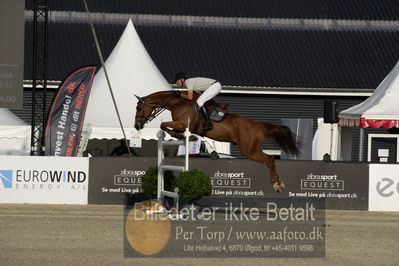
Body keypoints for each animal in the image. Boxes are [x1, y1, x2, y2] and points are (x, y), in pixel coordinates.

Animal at [135, 91, 300, 191]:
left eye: (138, 109)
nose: (137, 125)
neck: (177, 103)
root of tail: (258, 125)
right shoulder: (180, 124)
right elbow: (167, 127)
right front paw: (183, 136)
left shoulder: (182, 123)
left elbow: (164, 124)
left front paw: (186, 136)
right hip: (250, 149)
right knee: (270, 160)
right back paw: (277, 183)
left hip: (249, 150)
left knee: (270, 160)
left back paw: (276, 184)